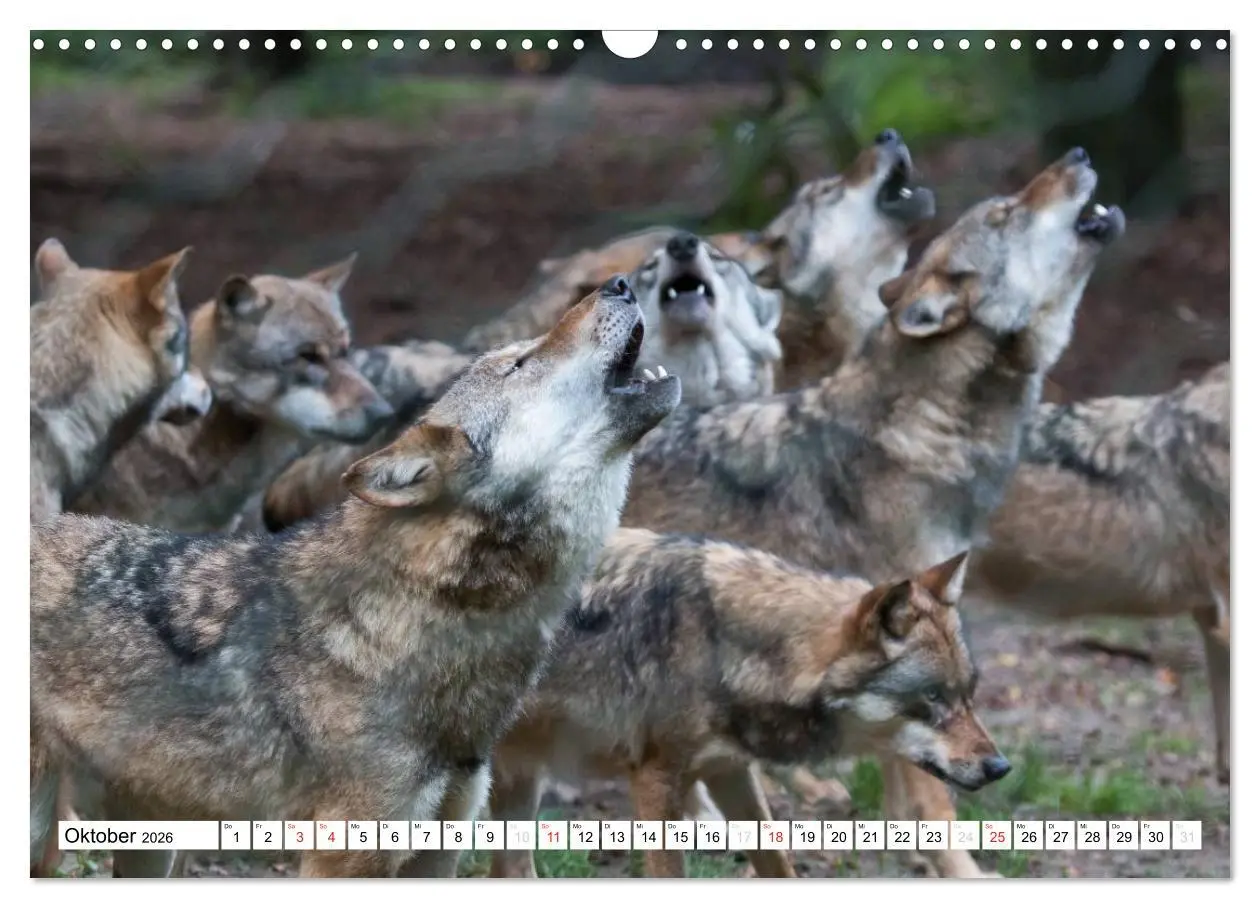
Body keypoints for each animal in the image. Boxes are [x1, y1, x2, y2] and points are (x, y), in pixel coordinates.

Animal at [489, 534, 1008, 878]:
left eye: (968, 694)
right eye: (933, 697)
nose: (1000, 767)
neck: (725, 644)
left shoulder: (730, 772)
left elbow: (779, 863)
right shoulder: (655, 779)